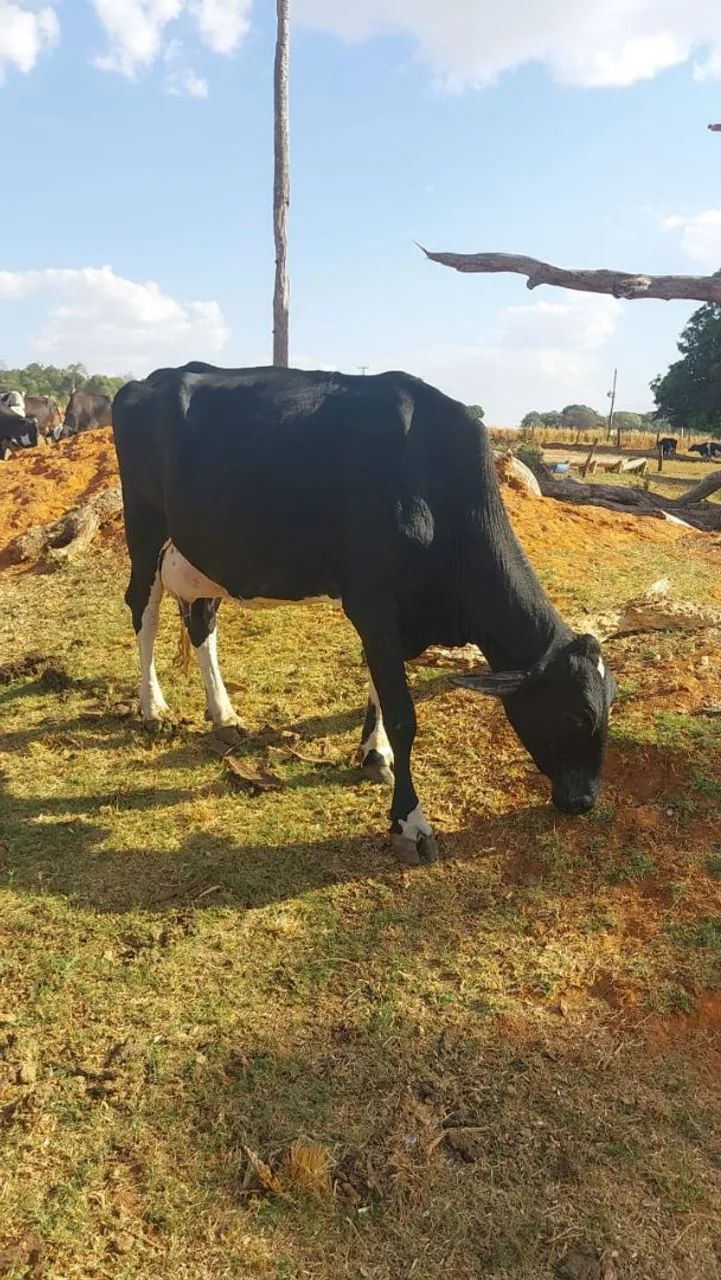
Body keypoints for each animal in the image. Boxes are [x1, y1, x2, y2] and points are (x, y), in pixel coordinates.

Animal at [113, 364, 616, 865]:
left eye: (608, 709)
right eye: (576, 717)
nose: (584, 801)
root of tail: (153, 377)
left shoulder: (391, 620)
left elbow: (377, 688)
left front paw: (375, 755)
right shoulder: (373, 605)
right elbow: (403, 715)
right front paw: (410, 823)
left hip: (208, 555)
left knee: (202, 623)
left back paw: (224, 714)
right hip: (145, 529)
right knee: (143, 611)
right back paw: (153, 707)